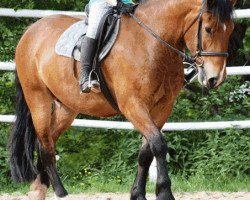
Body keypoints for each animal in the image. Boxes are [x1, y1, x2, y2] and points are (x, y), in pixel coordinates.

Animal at [10, 0, 236, 200]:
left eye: (231, 30)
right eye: (208, 29)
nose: (216, 78)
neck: (150, 42)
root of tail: (31, 31)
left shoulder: (162, 108)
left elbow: (146, 152)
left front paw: (137, 194)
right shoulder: (133, 105)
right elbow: (158, 144)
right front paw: (164, 193)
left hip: (67, 107)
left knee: (47, 140)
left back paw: (39, 189)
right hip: (38, 99)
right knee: (45, 144)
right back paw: (59, 191)